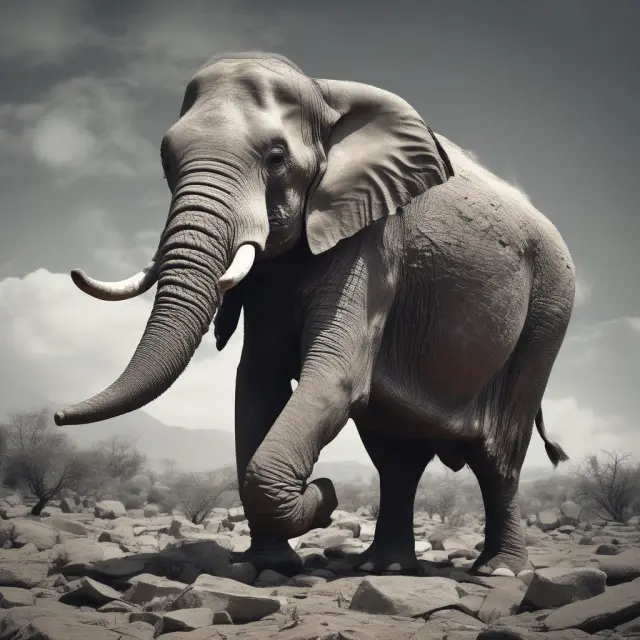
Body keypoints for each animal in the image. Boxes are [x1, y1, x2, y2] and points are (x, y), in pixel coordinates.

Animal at [55, 51, 574, 578]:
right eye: (165, 161)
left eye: (276, 158)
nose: (57, 414)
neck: (321, 94)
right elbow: (258, 381)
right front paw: (271, 562)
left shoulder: (374, 235)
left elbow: (332, 374)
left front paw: (320, 500)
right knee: (397, 458)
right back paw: (383, 567)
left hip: (549, 309)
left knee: (497, 456)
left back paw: (499, 571)